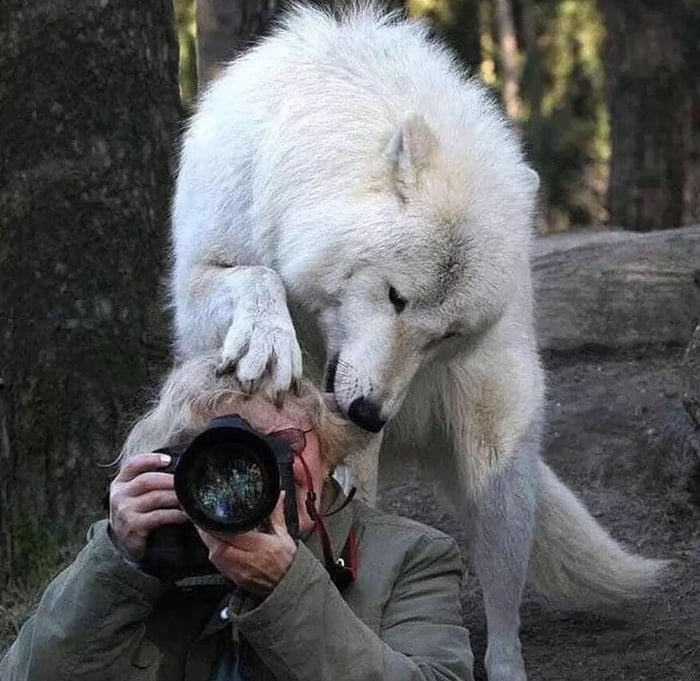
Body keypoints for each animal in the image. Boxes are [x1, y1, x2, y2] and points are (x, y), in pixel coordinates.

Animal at [170, 5, 665, 680]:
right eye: (395, 297)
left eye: (446, 335)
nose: (368, 414)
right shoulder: (201, 276)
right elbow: (257, 276)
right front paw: (269, 341)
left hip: (496, 468)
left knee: (502, 610)